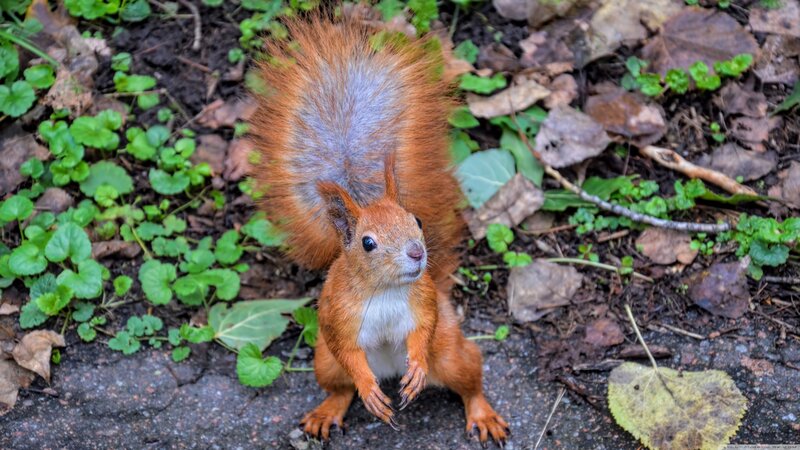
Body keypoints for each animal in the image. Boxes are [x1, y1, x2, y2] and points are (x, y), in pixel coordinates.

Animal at [249, 17, 509, 445]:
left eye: (416, 221)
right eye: (368, 243)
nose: (417, 253)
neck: (385, 291)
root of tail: (390, 372)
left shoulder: (424, 302)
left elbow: (422, 330)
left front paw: (416, 365)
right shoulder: (337, 317)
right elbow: (349, 354)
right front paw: (369, 390)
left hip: (450, 354)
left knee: (470, 378)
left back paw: (481, 413)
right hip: (323, 362)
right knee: (340, 387)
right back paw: (332, 410)